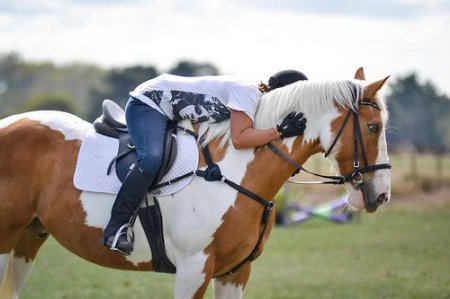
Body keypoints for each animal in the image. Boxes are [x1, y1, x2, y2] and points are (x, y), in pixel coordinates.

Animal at [0, 68, 390, 299]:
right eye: (374, 127)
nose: (381, 195)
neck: (235, 173)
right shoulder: (193, 270)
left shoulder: (235, 272)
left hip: (28, 239)